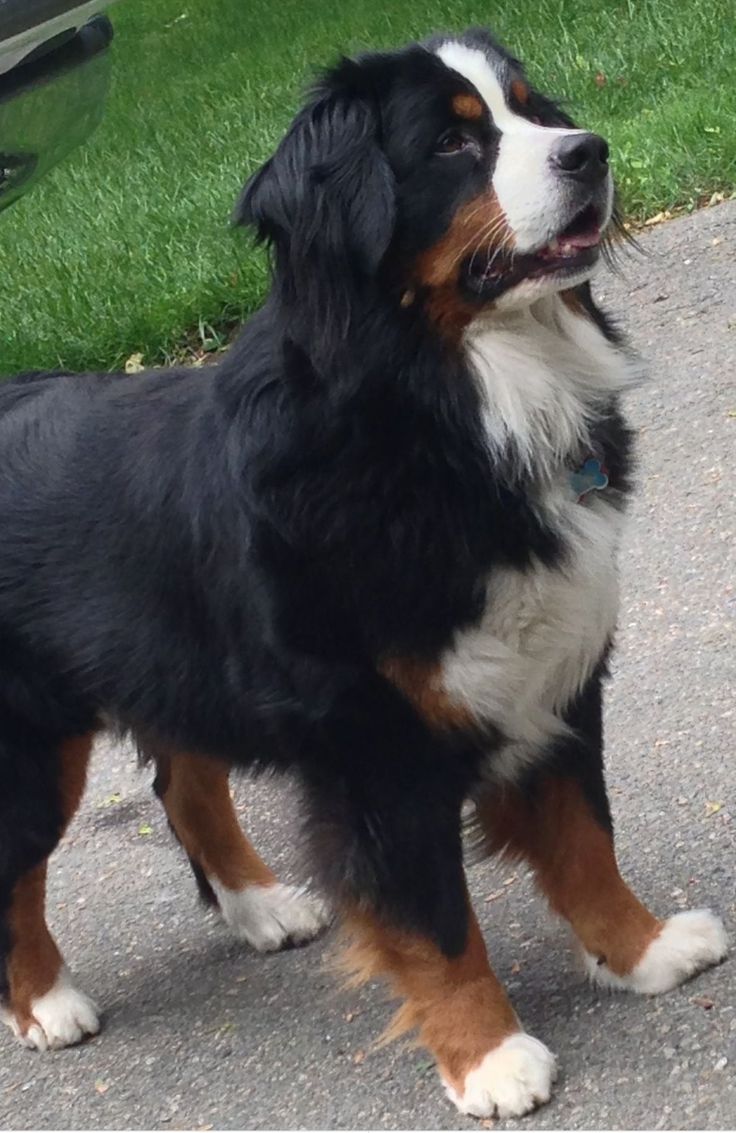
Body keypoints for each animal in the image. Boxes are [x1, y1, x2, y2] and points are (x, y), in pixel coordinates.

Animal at [0, 28, 720, 1123]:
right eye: (453, 145)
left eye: (530, 108)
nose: (588, 151)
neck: (448, 410)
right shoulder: (378, 743)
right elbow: (434, 921)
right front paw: (490, 1057)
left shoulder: (556, 681)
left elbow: (586, 838)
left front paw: (640, 952)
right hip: (32, 746)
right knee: (16, 875)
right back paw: (45, 1001)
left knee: (183, 778)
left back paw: (262, 906)